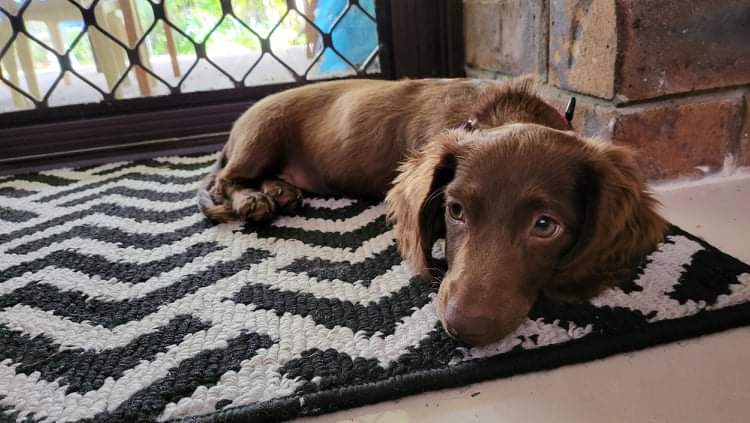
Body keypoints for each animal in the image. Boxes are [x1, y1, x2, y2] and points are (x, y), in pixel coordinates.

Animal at [200, 78, 668, 346]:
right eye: (455, 211)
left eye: (544, 226)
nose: (464, 328)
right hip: (263, 132)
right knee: (225, 180)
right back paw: (254, 200)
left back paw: (280, 189)